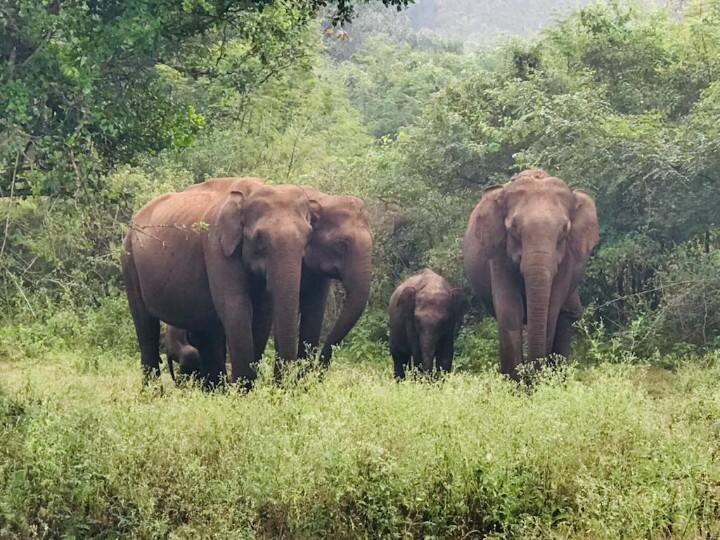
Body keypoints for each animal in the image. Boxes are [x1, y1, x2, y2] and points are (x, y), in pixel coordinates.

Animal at [122, 177, 320, 388]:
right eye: (258, 238)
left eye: (308, 237)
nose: (279, 384)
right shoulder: (216, 246)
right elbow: (236, 307)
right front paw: (243, 389)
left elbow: (262, 314)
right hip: (129, 261)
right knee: (147, 330)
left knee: (205, 333)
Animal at [464, 170, 600, 380]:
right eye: (513, 228)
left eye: (564, 230)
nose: (531, 376)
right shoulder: (499, 254)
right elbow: (510, 312)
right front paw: (517, 382)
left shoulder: (567, 260)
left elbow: (552, 311)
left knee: (566, 317)